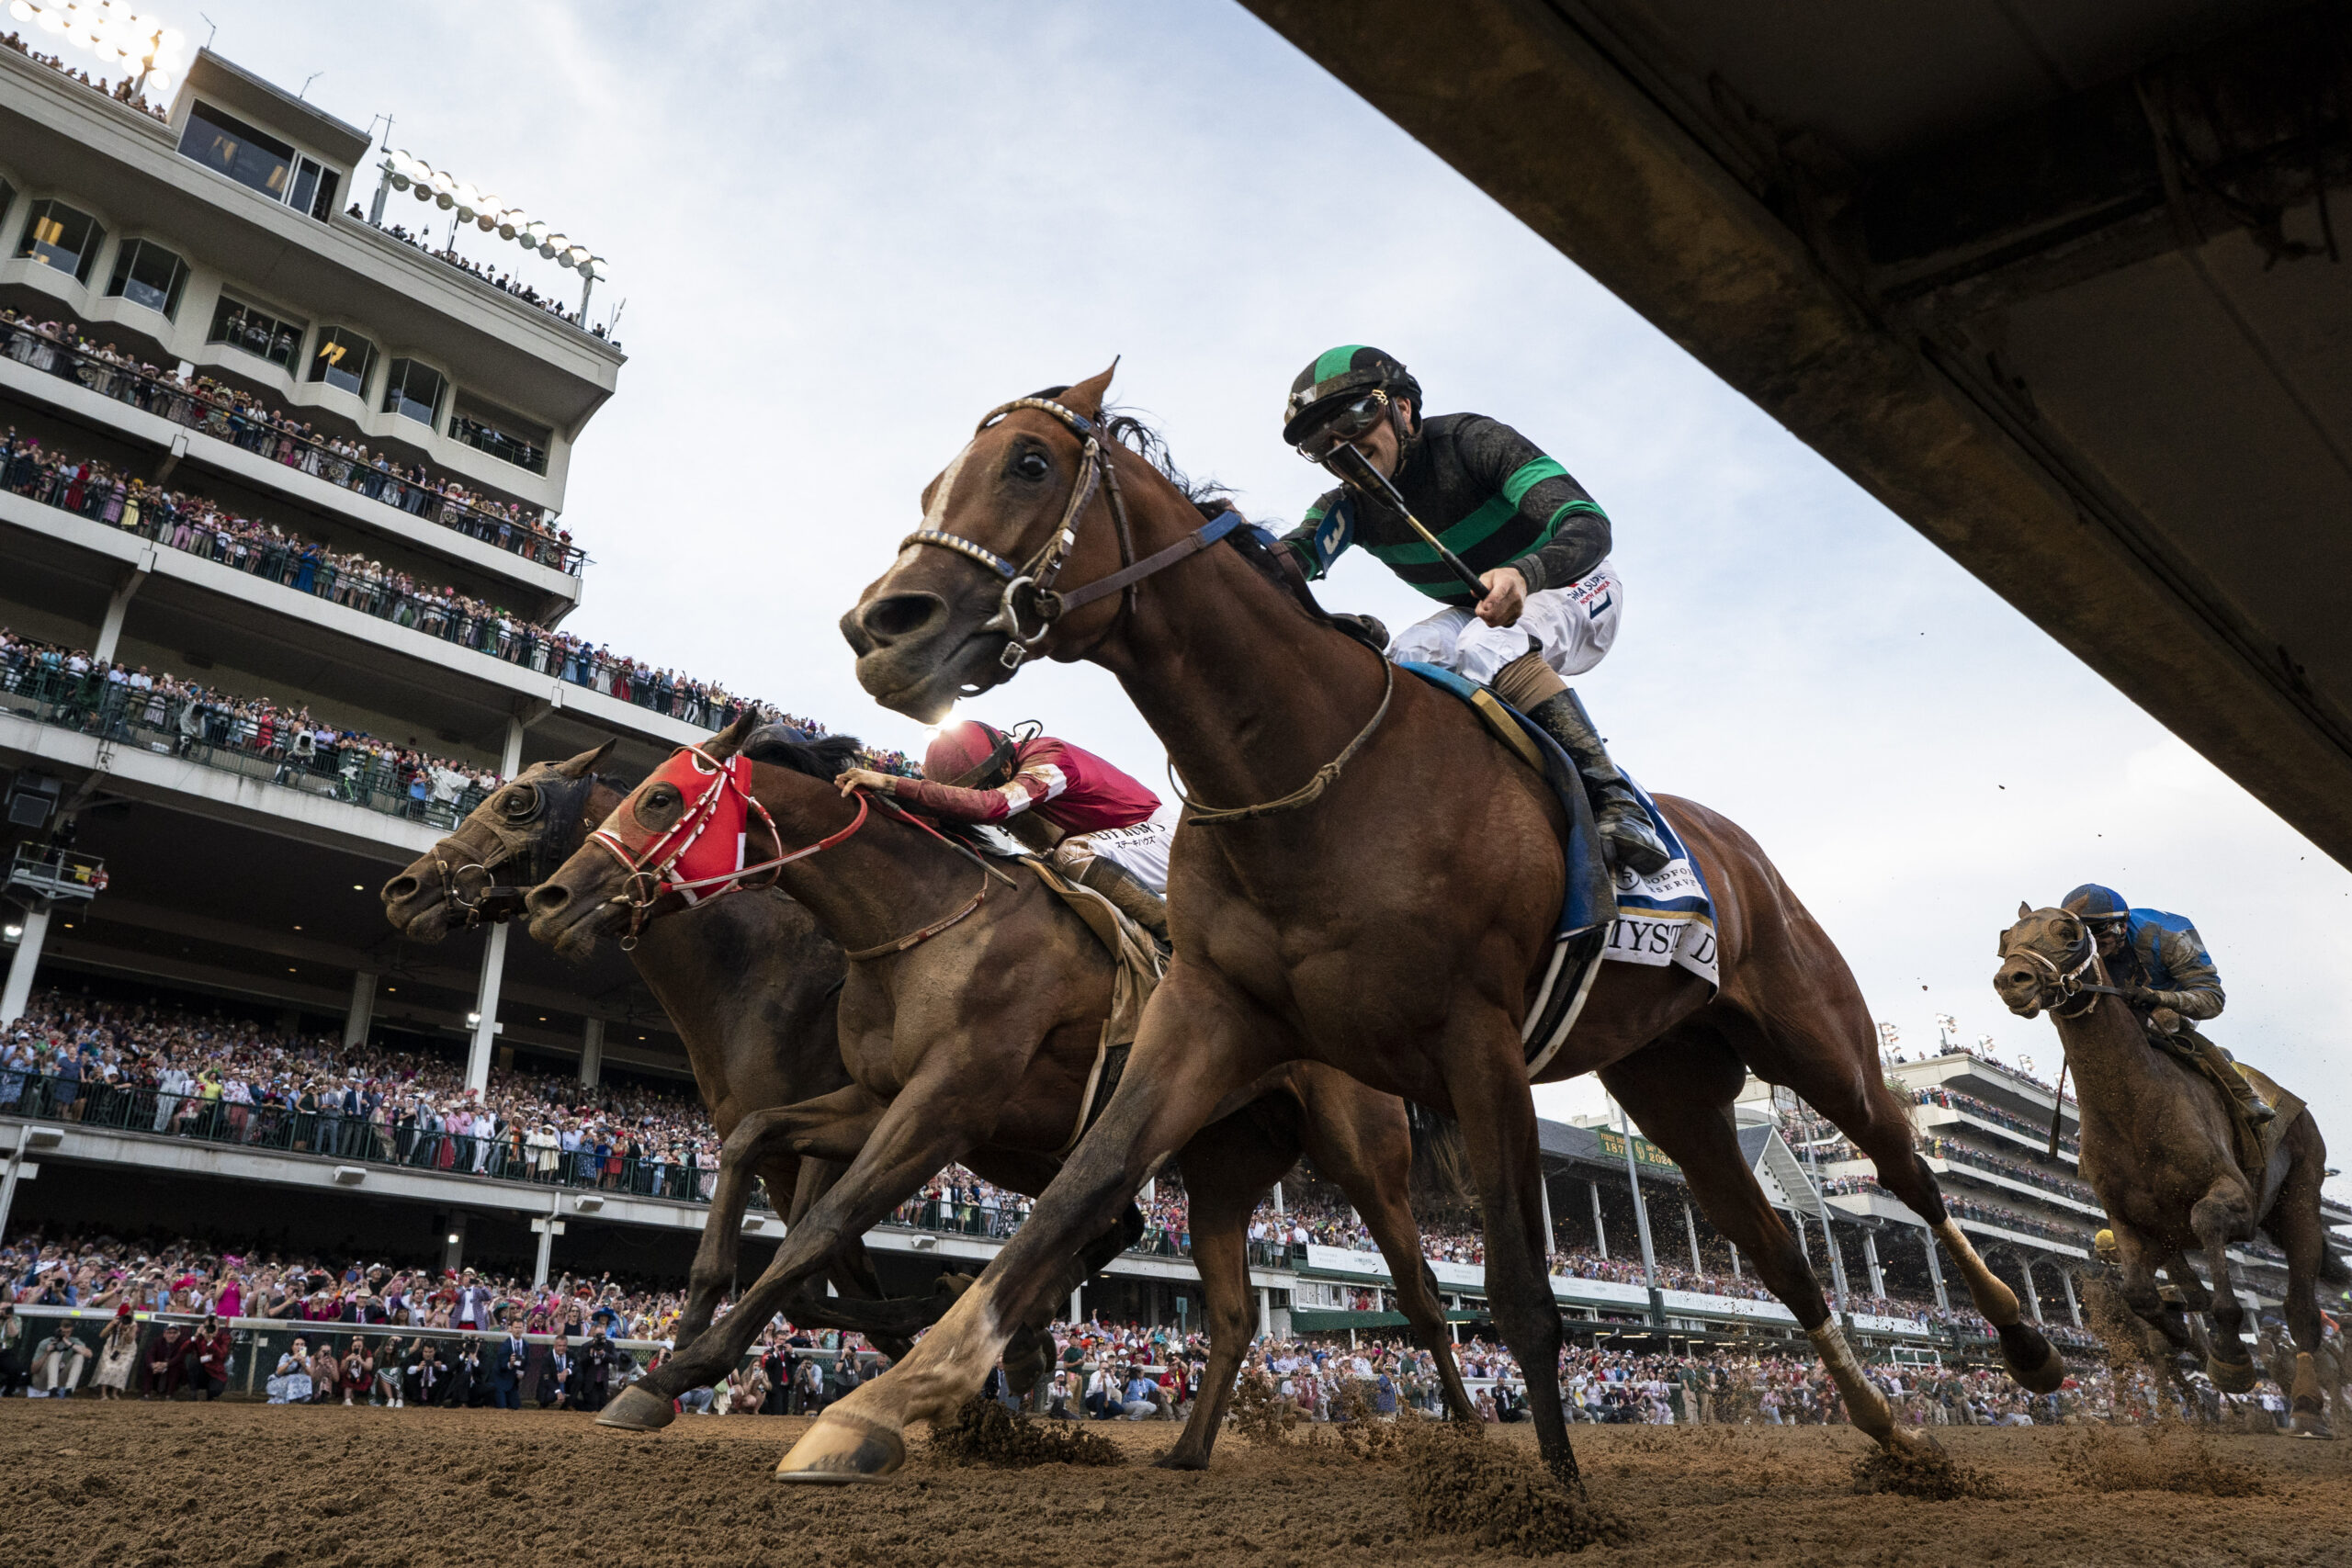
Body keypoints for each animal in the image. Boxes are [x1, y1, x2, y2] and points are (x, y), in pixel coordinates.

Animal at [529, 719, 1467, 1466]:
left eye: (659, 798)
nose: (550, 896)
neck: (917, 922)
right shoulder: (877, 1099)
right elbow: (750, 1137)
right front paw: (678, 1351)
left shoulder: (945, 1106)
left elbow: (821, 1227)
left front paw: (684, 1368)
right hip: (1219, 1165)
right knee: (1230, 1312)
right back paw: (1181, 1448)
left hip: (1363, 1155)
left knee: (1422, 1296)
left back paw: (1466, 1436)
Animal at [799, 364, 2069, 1485]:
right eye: (932, 483)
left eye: (1027, 463)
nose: (881, 626)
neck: (1307, 768)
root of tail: (1735, 848)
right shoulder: (1206, 1013)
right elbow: (1074, 1196)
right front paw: (878, 1405)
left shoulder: (1478, 1038)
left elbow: (1518, 1291)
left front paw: (1552, 1494)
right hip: (1672, 1087)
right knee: (1778, 1255)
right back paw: (1895, 1436)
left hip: (1817, 1040)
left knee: (1911, 1183)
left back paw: (2028, 1346)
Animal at [1994, 907, 2342, 1438]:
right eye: (2006, 938)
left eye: (2069, 933)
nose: (2012, 980)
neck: (2136, 1108)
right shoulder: (2129, 1221)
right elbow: (2142, 1295)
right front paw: (2186, 1341)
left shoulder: (2235, 1199)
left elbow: (2210, 1239)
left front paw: (2230, 1355)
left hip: (2300, 1196)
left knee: (2300, 1307)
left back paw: (2304, 1407)